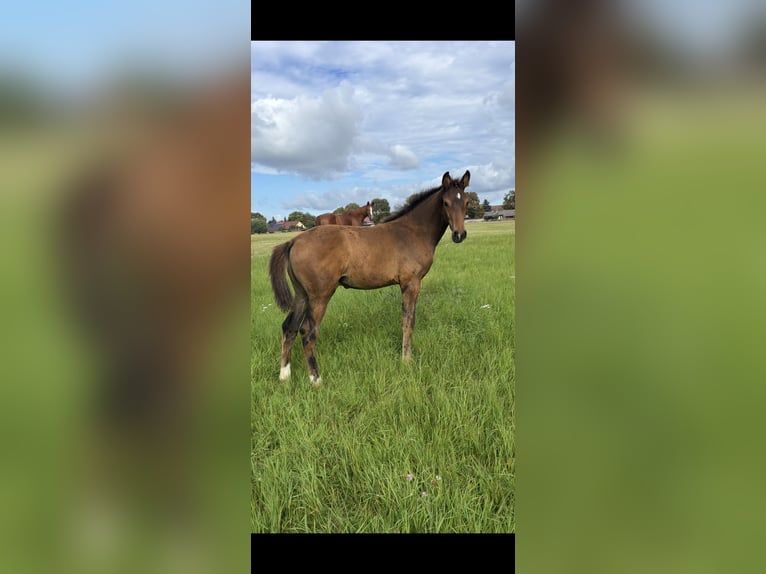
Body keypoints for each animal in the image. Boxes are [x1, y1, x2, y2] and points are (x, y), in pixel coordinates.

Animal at [269, 170, 470, 386]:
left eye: (466, 202)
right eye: (445, 203)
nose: (459, 235)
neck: (413, 231)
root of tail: (293, 241)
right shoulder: (411, 283)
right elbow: (408, 321)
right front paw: (406, 361)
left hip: (301, 295)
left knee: (289, 328)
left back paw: (284, 376)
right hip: (319, 296)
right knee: (307, 332)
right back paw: (316, 380)